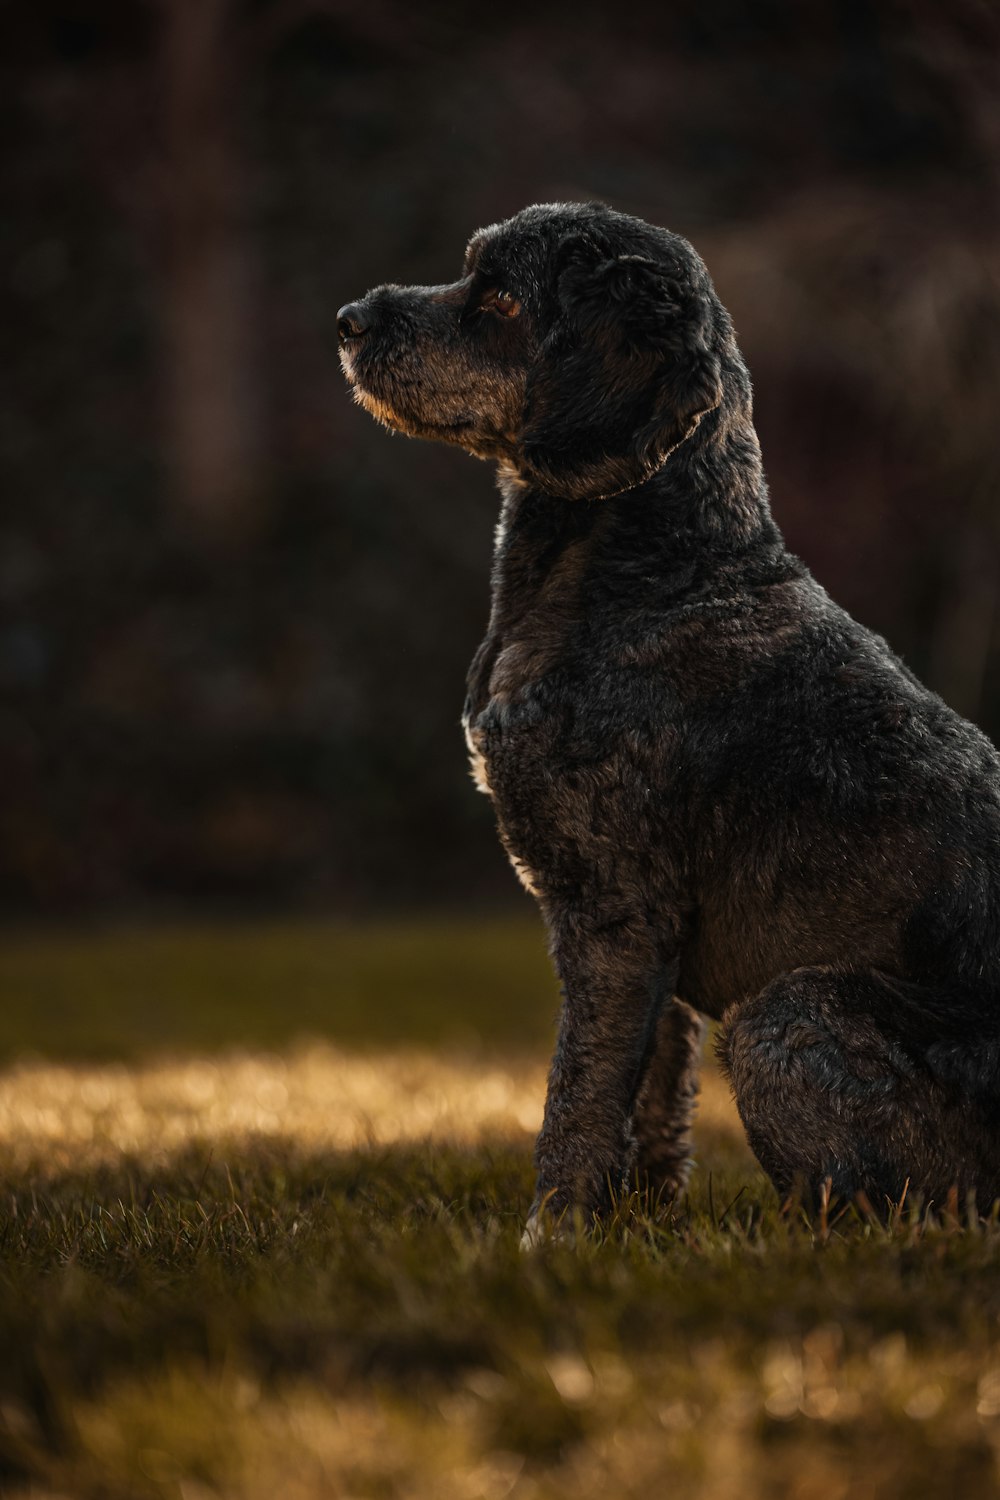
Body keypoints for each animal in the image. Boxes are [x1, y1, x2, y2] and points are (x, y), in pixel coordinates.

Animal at [340, 199, 1000, 1230]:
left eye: (502, 298)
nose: (349, 320)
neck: (663, 573)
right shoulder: (655, 942)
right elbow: (648, 1095)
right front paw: (638, 1226)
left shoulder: (615, 912)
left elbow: (579, 1093)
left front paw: (552, 1232)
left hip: (791, 1015)